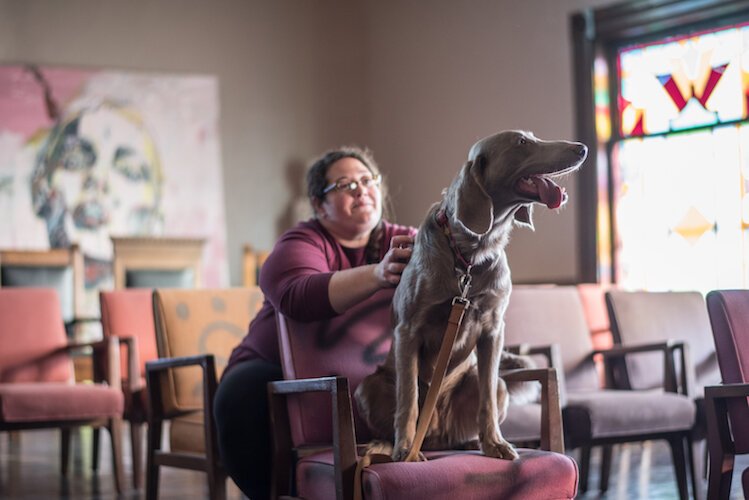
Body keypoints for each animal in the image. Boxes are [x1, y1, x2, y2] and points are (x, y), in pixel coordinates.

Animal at [354, 129, 588, 460]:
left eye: (530, 137)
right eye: (521, 143)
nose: (582, 149)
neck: (471, 254)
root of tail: (436, 434)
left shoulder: (492, 330)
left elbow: (486, 397)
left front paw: (495, 443)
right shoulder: (408, 330)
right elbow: (408, 398)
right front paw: (405, 449)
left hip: (493, 387)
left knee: (485, 400)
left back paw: (470, 442)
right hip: (368, 386)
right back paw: (390, 445)